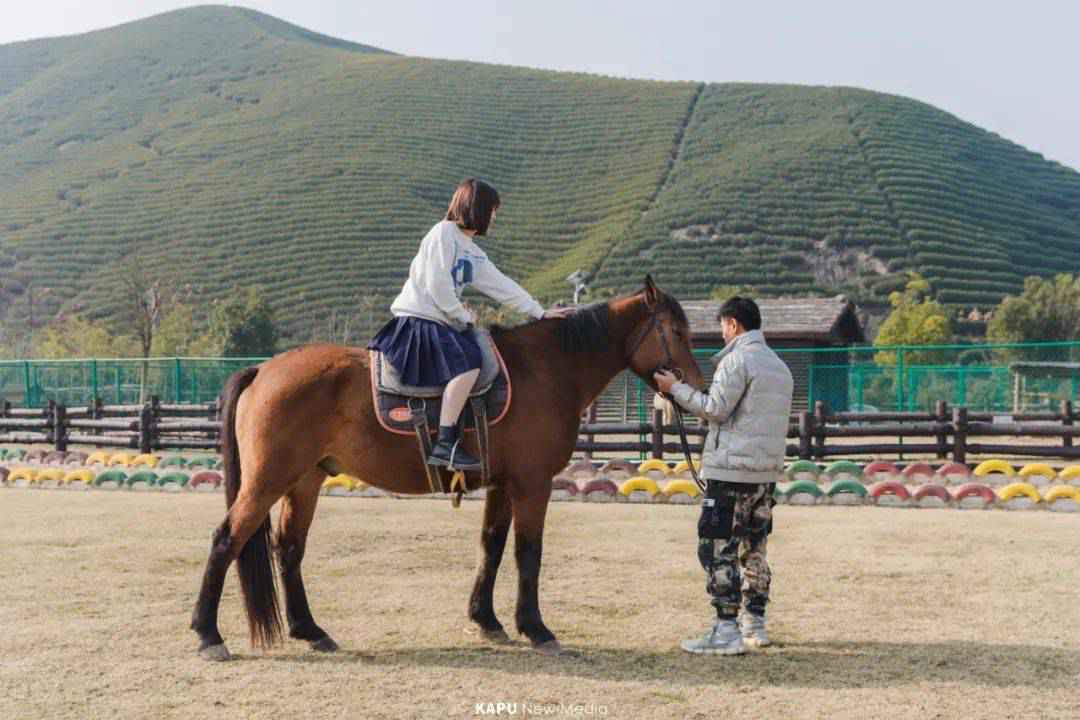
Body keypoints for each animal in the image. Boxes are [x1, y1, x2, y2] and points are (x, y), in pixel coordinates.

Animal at [190, 276, 704, 660]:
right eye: (677, 333)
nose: (697, 387)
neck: (546, 369)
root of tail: (263, 369)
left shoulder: (502, 485)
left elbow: (491, 547)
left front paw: (487, 620)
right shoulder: (532, 485)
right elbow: (528, 554)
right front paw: (535, 628)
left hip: (304, 481)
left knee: (289, 549)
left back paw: (310, 630)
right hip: (268, 480)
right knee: (226, 539)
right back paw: (208, 634)